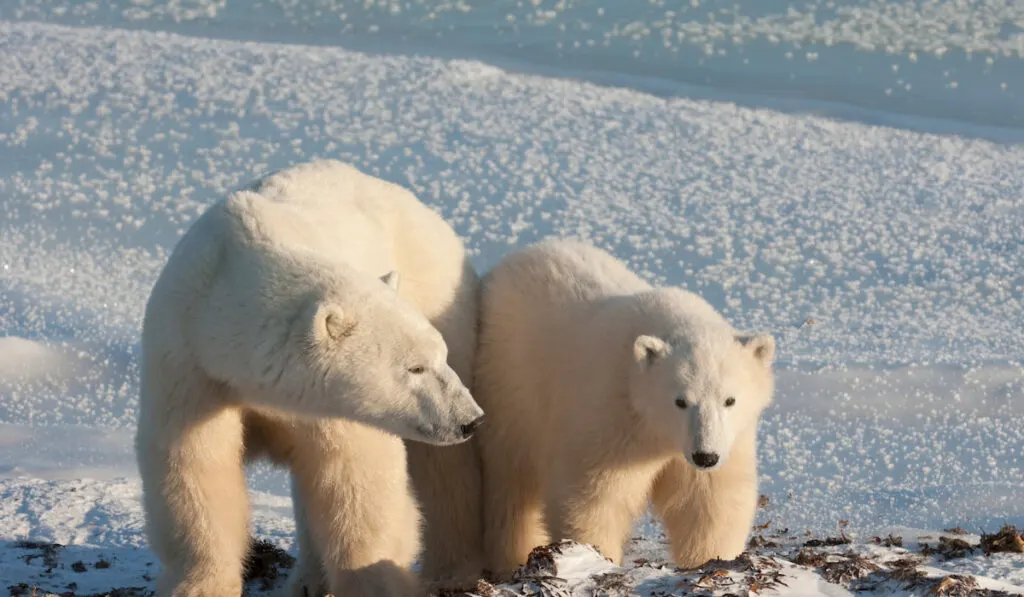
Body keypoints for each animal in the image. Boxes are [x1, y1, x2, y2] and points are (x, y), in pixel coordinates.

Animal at [135, 159, 483, 597]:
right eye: (414, 367)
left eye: (438, 357)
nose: (470, 419)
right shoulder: (188, 362)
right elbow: (195, 464)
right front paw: (199, 585)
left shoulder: (326, 403)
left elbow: (354, 475)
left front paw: (374, 581)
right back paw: (308, 580)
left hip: (438, 290)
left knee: (442, 469)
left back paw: (453, 569)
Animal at [471, 240, 774, 577]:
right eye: (680, 400)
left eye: (729, 400)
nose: (705, 456)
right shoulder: (611, 418)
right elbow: (593, 499)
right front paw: (594, 558)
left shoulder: (729, 439)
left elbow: (709, 501)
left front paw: (711, 561)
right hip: (510, 384)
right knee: (512, 481)